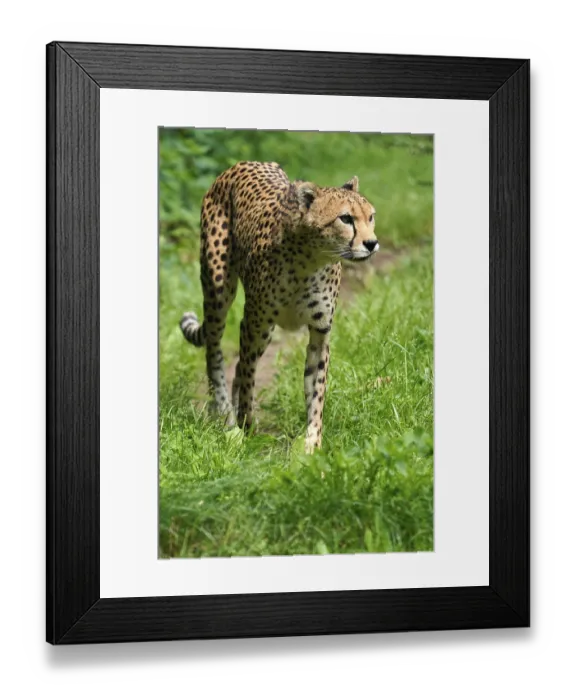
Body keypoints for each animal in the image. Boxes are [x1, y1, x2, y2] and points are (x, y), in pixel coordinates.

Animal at [180, 161, 378, 453]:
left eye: (371, 217)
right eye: (346, 219)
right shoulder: (253, 322)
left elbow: (316, 389)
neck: (310, 260)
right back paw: (226, 415)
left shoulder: (319, 332)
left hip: (265, 331)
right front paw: (247, 429)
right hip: (220, 292)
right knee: (215, 354)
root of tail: (242, 164)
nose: (371, 243)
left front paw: (312, 443)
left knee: (237, 367)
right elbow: (249, 377)